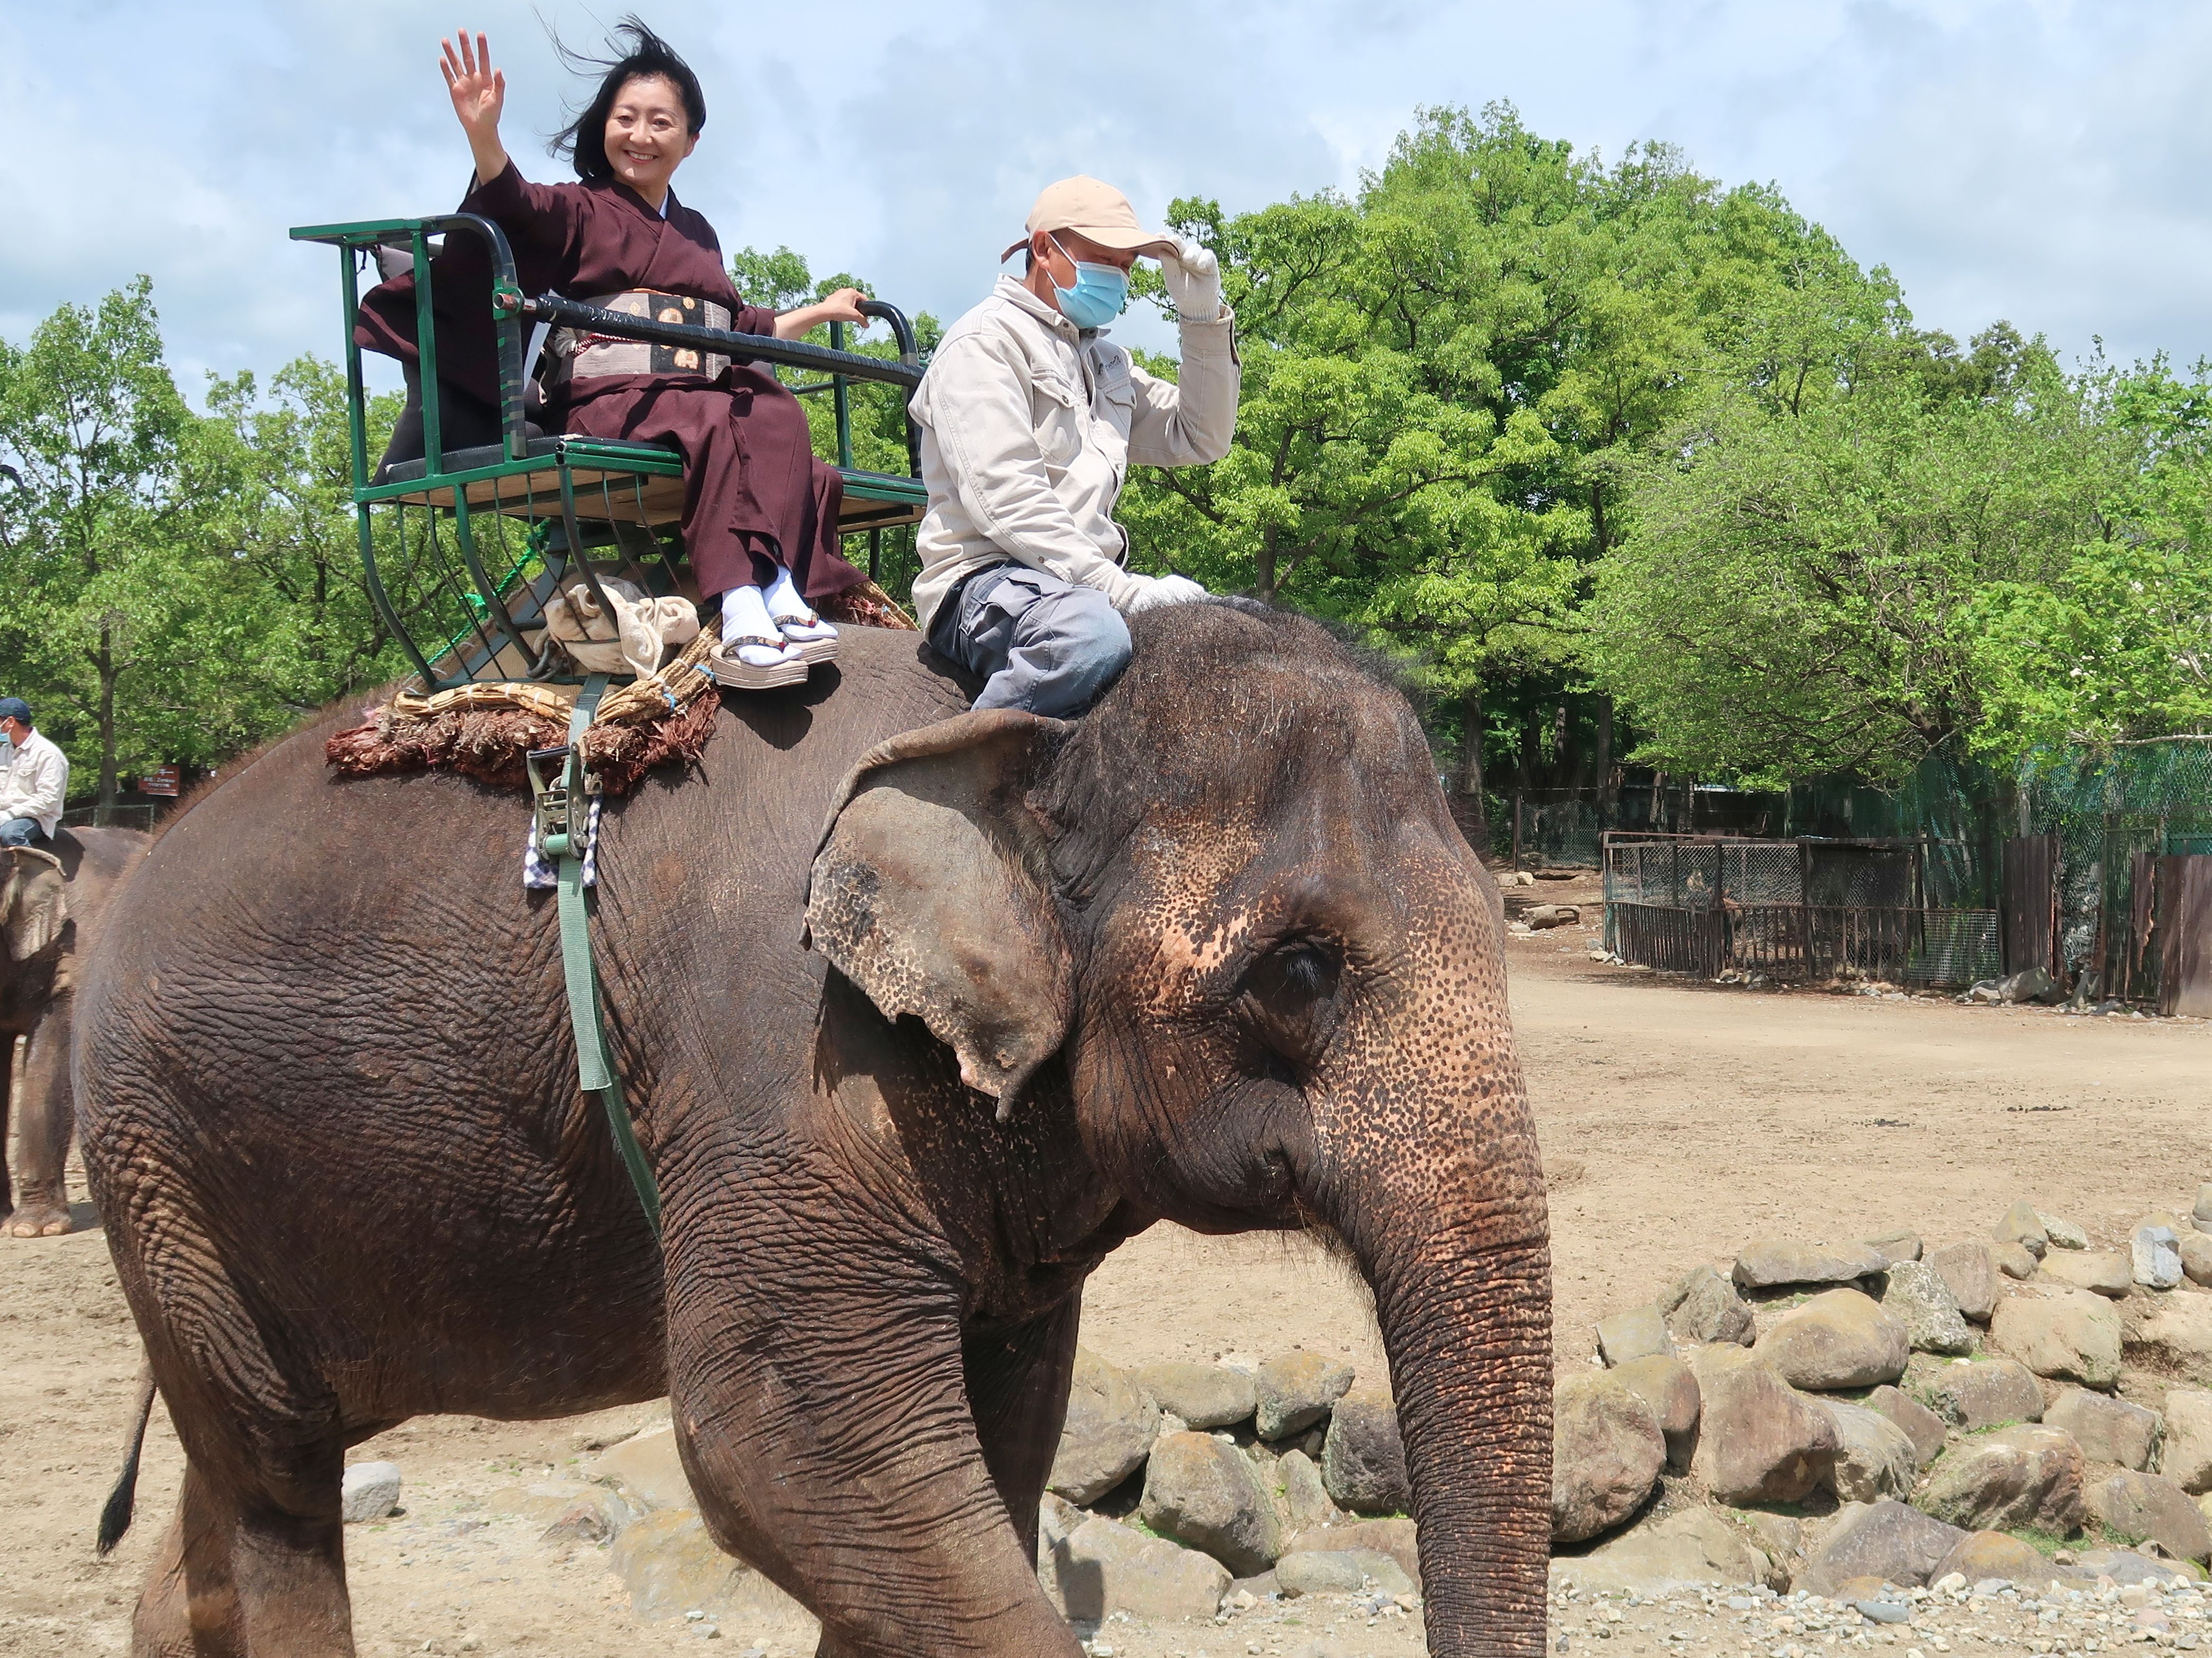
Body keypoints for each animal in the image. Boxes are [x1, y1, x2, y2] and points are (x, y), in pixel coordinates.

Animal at [78, 606, 1548, 1655]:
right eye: (1298, 972)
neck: (1014, 729)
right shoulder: (782, 1062)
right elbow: (783, 1441)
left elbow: (996, 1447)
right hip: (159, 1159)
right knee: (276, 1478)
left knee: (236, 1479)